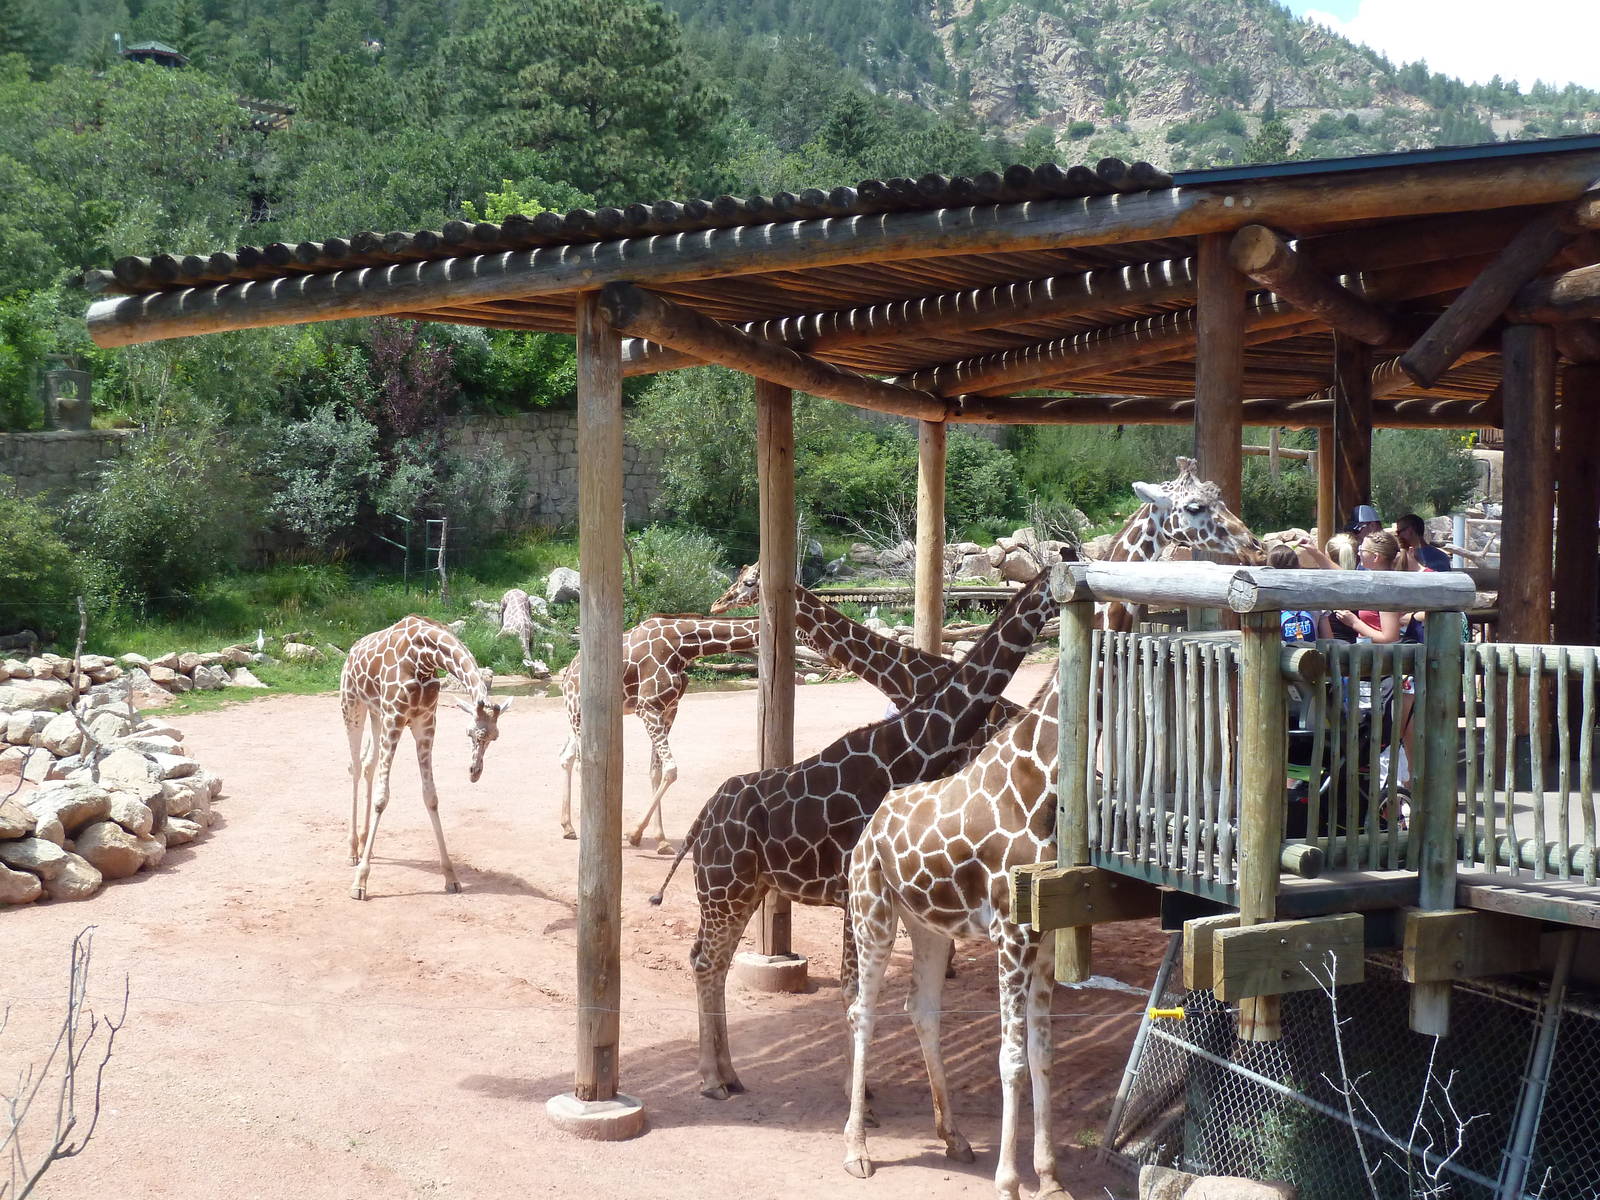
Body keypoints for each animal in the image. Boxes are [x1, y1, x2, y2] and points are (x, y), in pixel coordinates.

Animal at [340, 614, 512, 901]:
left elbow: (431, 796)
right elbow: (382, 798)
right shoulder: (395, 717)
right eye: (469, 732)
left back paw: (365, 845)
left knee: (368, 764)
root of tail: (351, 651)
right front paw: (360, 882)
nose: (474, 773)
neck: (423, 658)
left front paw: (451, 877)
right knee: (353, 765)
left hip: (376, 713)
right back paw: (353, 851)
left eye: (495, 737)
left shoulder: (425, 721)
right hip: (352, 705)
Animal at [650, 569, 1058, 1100]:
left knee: (711, 962)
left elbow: (861, 987)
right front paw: (856, 1089)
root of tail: (700, 823)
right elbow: (853, 987)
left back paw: (730, 1075)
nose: (719, 605)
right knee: (705, 962)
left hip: (742, 890)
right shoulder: (854, 888)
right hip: (723, 890)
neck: (913, 747)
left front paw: (859, 1086)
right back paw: (711, 1080)